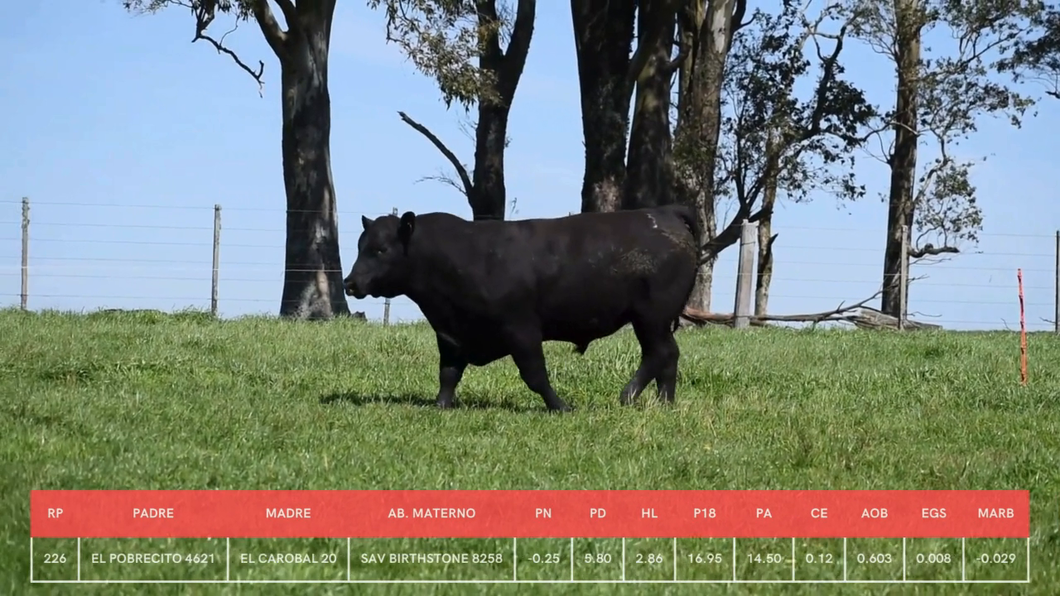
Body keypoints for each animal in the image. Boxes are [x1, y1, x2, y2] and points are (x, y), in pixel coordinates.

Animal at [343, 206, 699, 411]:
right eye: (361, 246)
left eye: (381, 249)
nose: (350, 283)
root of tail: (664, 213)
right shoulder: (450, 334)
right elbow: (448, 373)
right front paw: (440, 406)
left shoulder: (521, 329)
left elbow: (535, 374)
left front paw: (561, 407)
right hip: (655, 320)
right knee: (668, 356)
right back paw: (665, 403)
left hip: (651, 316)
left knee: (659, 353)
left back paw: (628, 396)